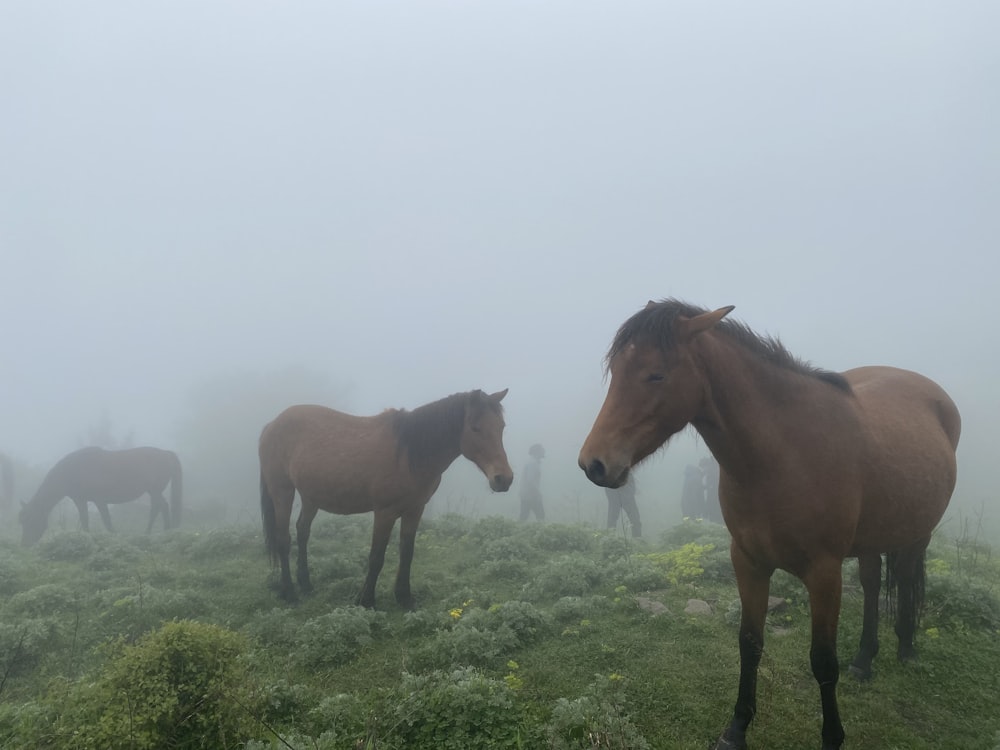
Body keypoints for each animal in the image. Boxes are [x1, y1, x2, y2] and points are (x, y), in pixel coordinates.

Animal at [20, 446, 185, 548]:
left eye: (30, 520)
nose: (25, 544)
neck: (72, 471)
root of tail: (166, 453)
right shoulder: (81, 500)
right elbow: (85, 520)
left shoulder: (100, 500)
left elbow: (106, 521)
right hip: (153, 491)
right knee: (160, 507)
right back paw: (164, 531)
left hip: (154, 491)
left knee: (160, 507)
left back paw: (153, 532)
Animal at [262, 390, 512, 608]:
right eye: (475, 428)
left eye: (501, 427)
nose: (504, 479)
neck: (409, 454)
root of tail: (271, 424)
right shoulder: (385, 512)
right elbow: (376, 556)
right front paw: (366, 600)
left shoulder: (415, 510)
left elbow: (407, 553)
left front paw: (404, 597)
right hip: (283, 491)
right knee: (284, 539)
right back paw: (290, 592)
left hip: (310, 497)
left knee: (302, 532)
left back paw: (306, 584)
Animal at [580, 302, 960, 750]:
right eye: (616, 372)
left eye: (656, 374)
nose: (594, 463)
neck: (784, 453)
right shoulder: (748, 561)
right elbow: (749, 643)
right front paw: (736, 729)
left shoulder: (824, 573)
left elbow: (823, 660)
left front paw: (832, 737)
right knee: (871, 583)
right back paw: (865, 660)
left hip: (919, 532)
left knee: (905, 577)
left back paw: (906, 647)